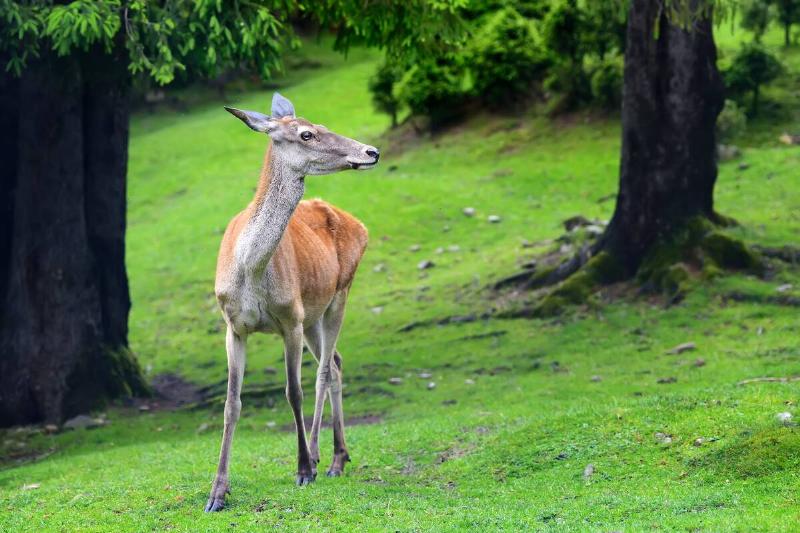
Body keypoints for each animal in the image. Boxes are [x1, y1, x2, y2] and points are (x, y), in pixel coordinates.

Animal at [204, 93, 378, 512]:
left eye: (321, 125)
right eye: (307, 133)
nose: (371, 151)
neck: (250, 271)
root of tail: (360, 225)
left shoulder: (290, 319)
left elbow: (293, 391)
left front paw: (301, 469)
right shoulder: (233, 325)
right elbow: (231, 403)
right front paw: (217, 492)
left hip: (339, 294)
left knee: (325, 371)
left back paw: (324, 459)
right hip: (315, 314)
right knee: (336, 363)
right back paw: (335, 456)